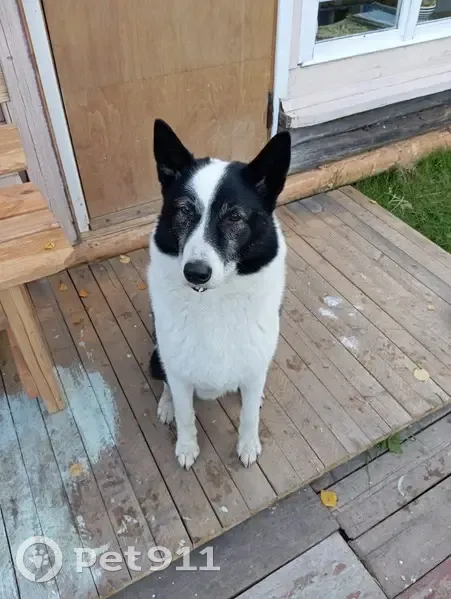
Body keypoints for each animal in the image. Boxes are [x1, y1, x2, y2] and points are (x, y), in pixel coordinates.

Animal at [148, 119, 291, 469]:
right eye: (184, 211)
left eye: (234, 217)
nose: (195, 272)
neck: (214, 301)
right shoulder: (178, 372)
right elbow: (186, 414)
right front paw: (186, 447)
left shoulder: (255, 366)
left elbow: (249, 416)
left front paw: (248, 445)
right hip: (156, 356)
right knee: (166, 383)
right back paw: (166, 404)